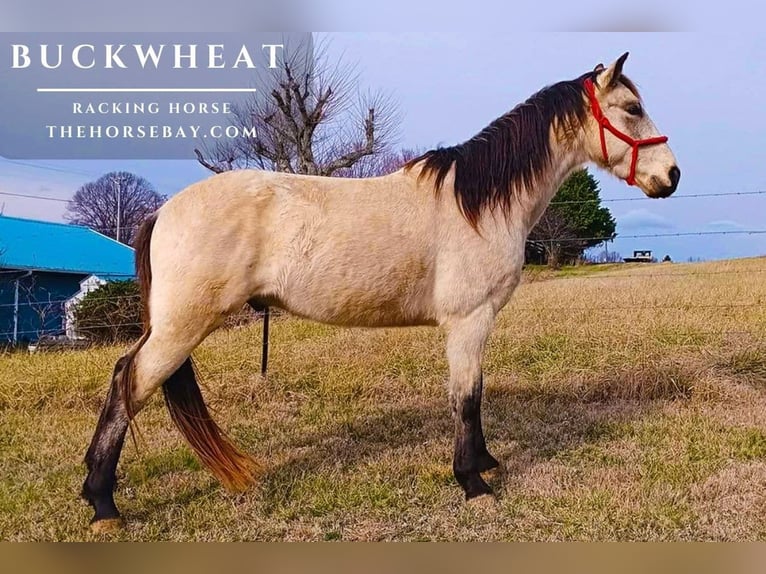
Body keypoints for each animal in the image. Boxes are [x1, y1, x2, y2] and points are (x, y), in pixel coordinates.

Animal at [82, 52, 680, 532]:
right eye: (631, 108)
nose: (671, 176)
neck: (476, 204)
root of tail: (164, 210)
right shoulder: (469, 320)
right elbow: (465, 398)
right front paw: (473, 483)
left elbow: (476, 393)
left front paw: (486, 463)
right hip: (182, 325)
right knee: (128, 384)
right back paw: (104, 505)